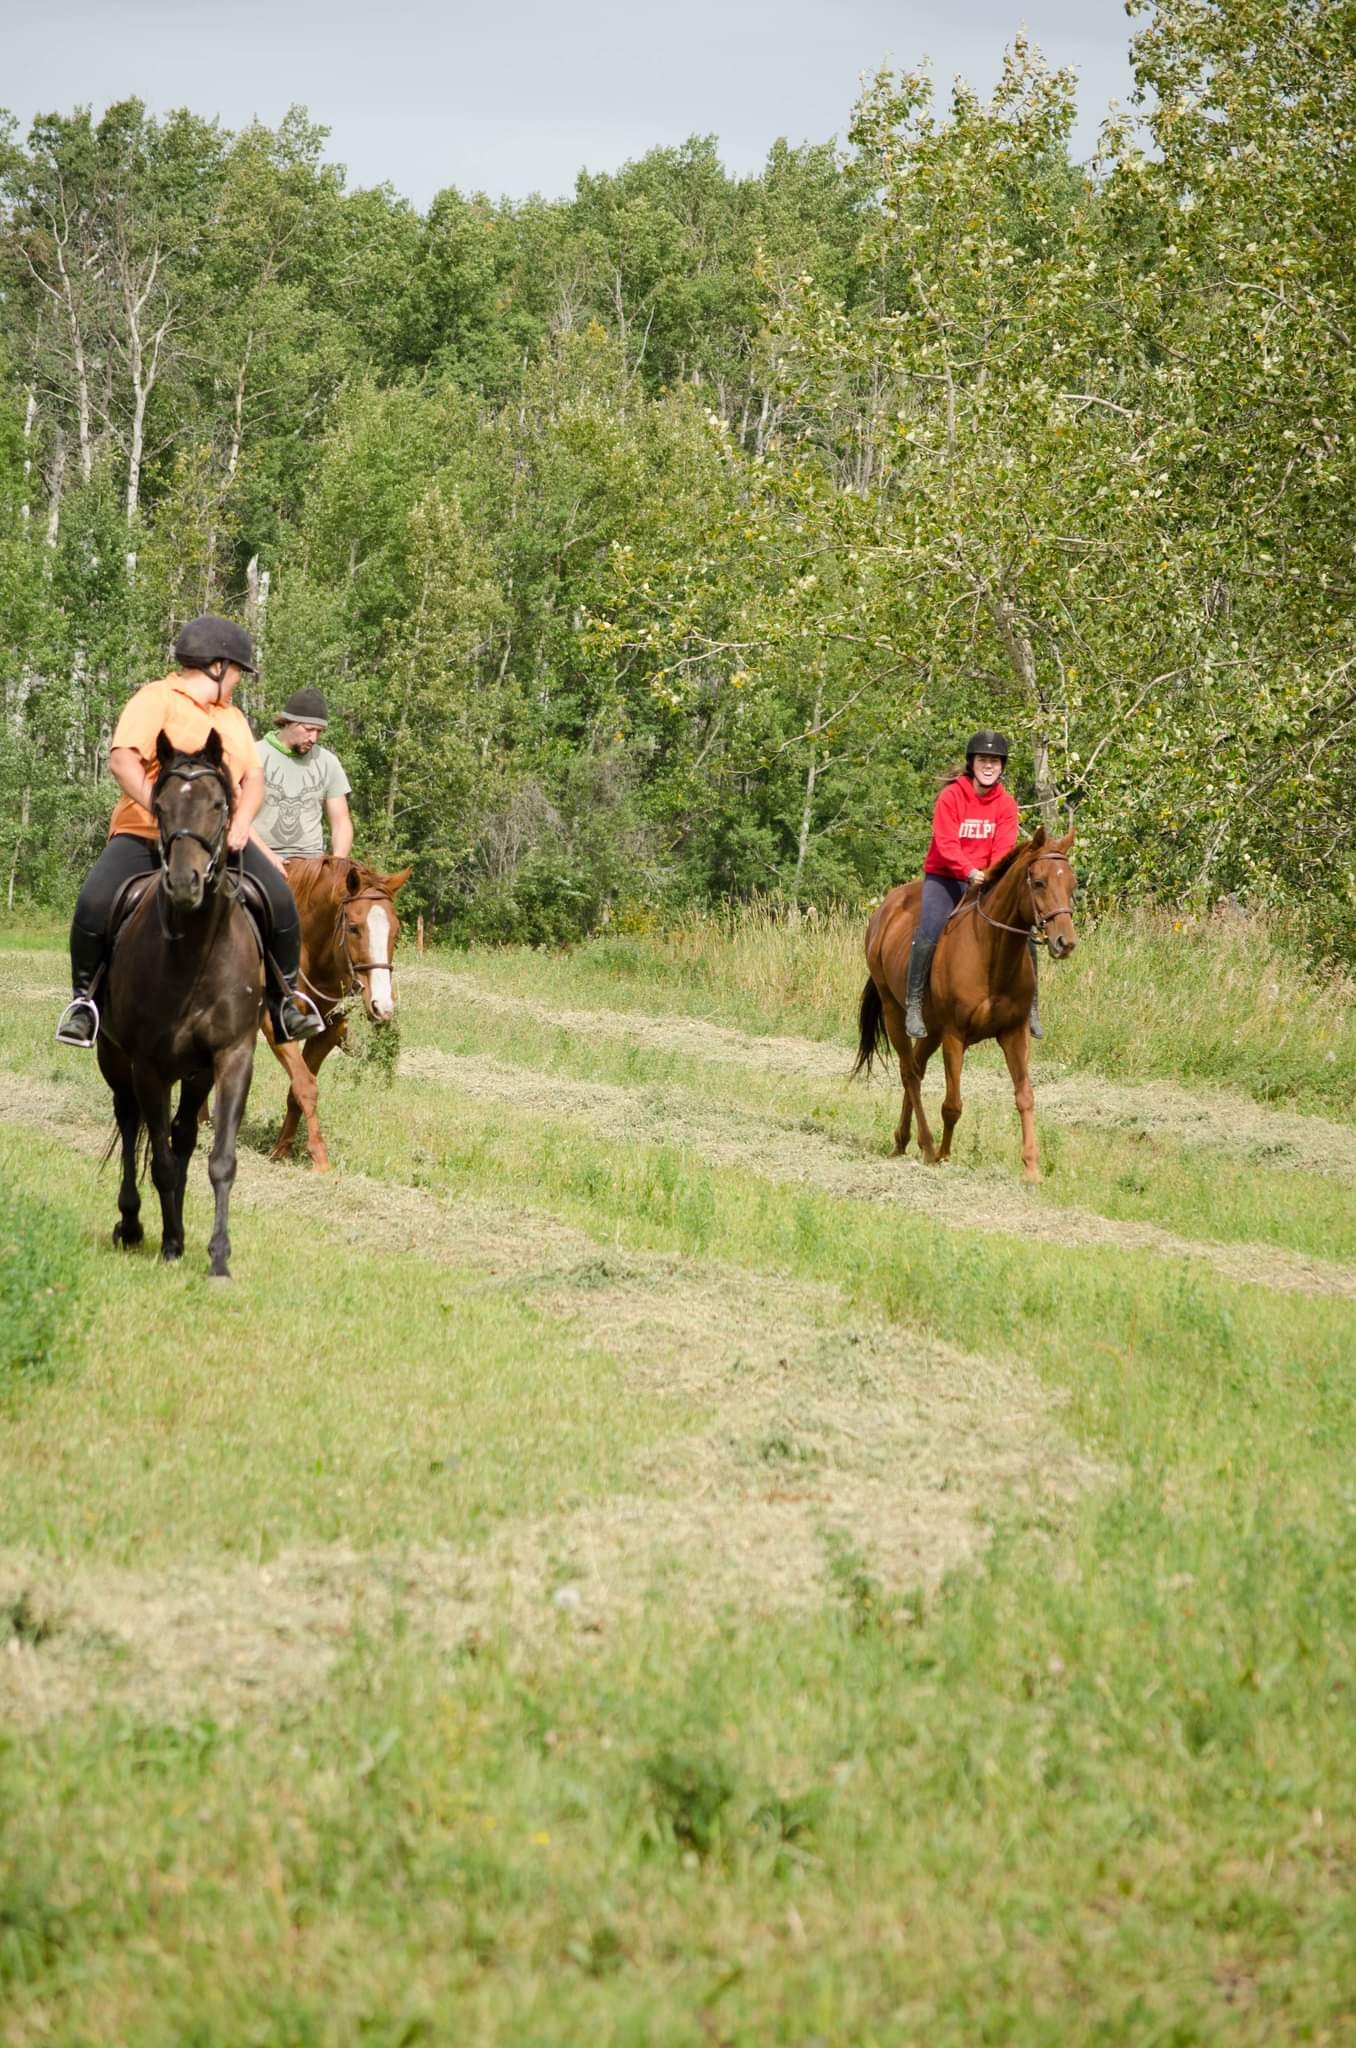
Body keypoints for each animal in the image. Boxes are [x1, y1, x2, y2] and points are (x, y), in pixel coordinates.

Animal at [97, 730, 263, 1276]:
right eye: (161, 806)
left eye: (218, 804)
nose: (185, 883)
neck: (195, 955)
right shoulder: (147, 1066)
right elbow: (162, 1163)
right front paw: (170, 1245)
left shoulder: (232, 1057)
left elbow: (219, 1160)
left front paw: (218, 1258)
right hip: (115, 1059)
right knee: (130, 1124)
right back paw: (132, 1225)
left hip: (195, 1074)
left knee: (183, 1134)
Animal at [263, 855, 411, 1171]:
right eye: (354, 927)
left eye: (395, 931)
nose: (382, 1005)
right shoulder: (274, 1024)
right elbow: (305, 1085)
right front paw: (320, 1157)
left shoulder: (328, 1033)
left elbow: (297, 1089)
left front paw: (282, 1150)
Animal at [852, 828, 1078, 1182]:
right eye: (1039, 882)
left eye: (1072, 883)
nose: (1064, 942)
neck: (992, 953)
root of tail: (885, 908)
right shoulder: (954, 1036)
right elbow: (952, 1104)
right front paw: (944, 1155)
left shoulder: (1014, 1033)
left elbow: (1025, 1097)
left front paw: (1031, 1169)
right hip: (894, 1012)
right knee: (909, 1073)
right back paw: (927, 1146)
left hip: (931, 1030)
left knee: (916, 1068)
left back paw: (902, 1141)